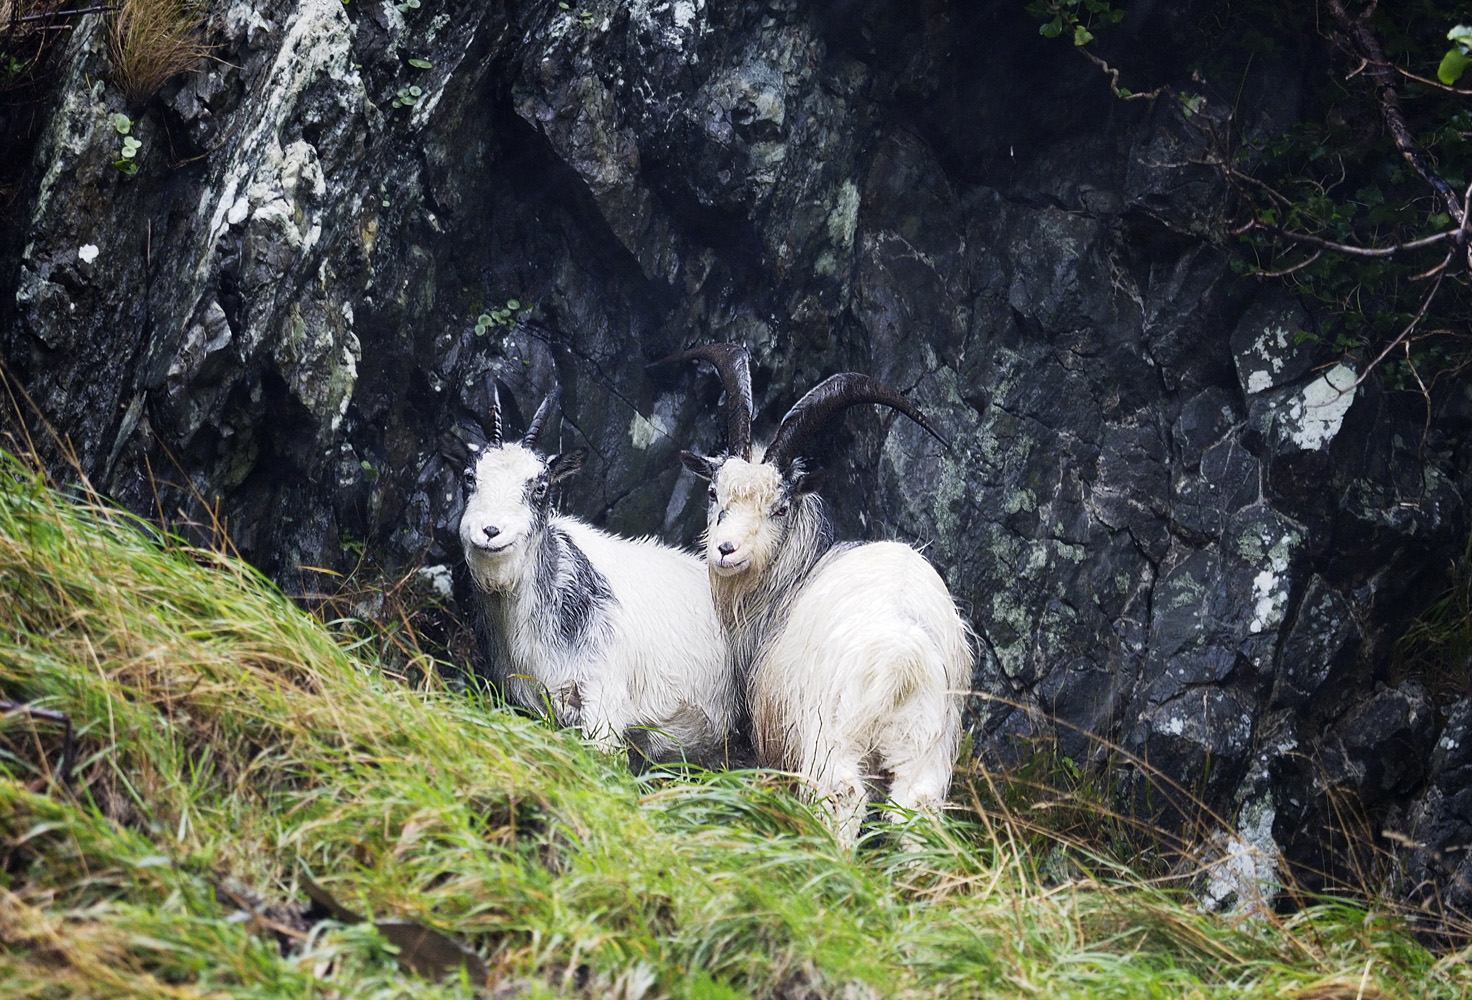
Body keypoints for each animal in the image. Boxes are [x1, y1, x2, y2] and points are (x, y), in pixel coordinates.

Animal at [671, 344, 977, 842]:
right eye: (715, 493)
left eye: (780, 508)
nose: (726, 549)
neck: (795, 580)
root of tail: (902, 658)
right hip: (925, 750)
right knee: (917, 812)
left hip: (832, 737)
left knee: (843, 797)